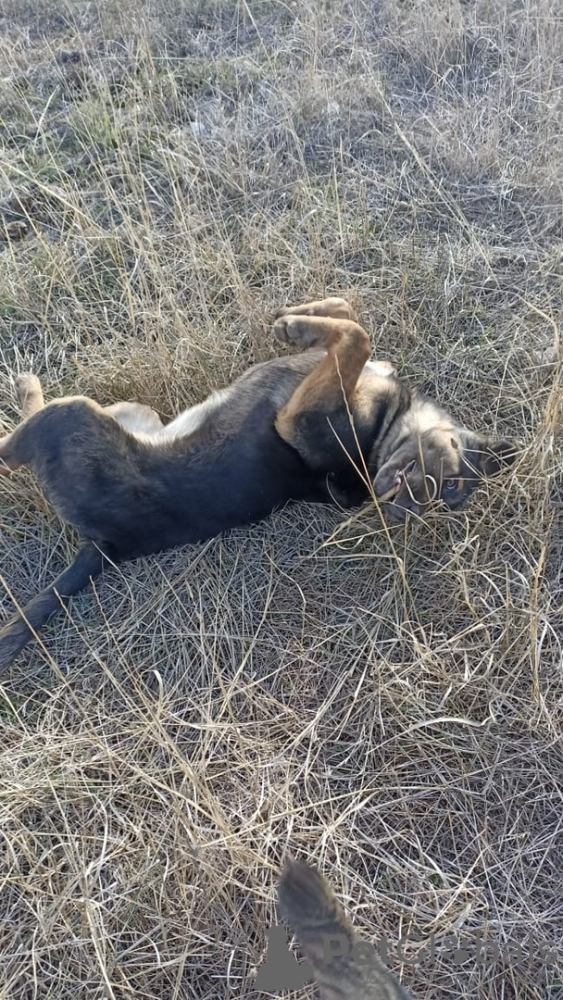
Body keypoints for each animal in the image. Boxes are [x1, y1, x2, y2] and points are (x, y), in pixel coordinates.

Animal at [0, 297, 514, 670]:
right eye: (450, 484)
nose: (402, 508)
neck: (381, 435)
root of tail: (108, 544)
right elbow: (351, 316)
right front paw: (305, 314)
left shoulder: (297, 420)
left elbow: (357, 338)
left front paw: (297, 326)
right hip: (131, 412)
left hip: (75, 415)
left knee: (9, 451)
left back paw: (24, 389)